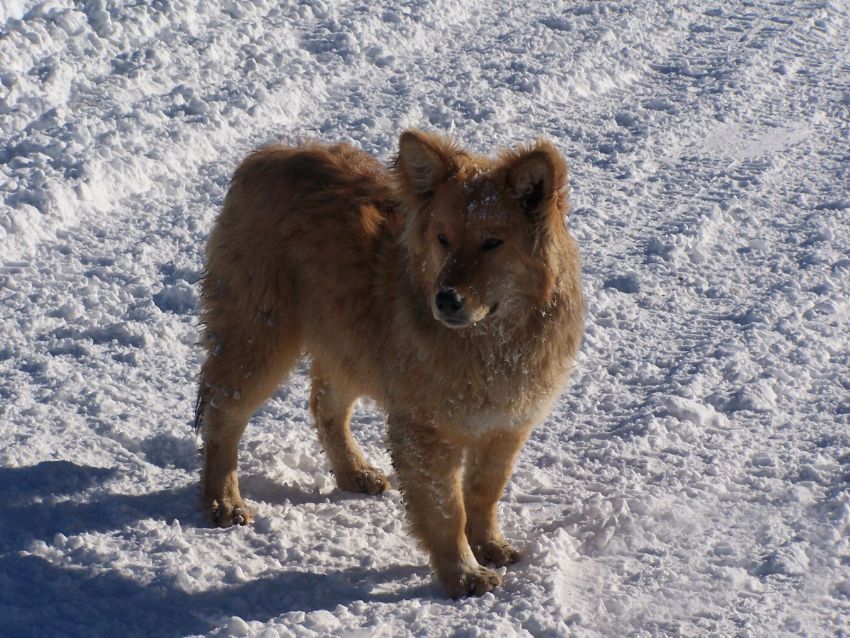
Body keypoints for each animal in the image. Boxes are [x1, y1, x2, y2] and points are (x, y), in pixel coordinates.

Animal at [195, 131, 584, 600]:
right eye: (443, 239)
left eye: (493, 242)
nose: (446, 300)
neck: (492, 342)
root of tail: (268, 154)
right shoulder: (426, 431)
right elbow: (447, 508)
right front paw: (462, 573)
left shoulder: (507, 425)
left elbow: (484, 492)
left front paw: (488, 544)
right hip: (259, 337)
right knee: (223, 413)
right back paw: (223, 500)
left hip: (349, 342)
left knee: (325, 405)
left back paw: (353, 471)